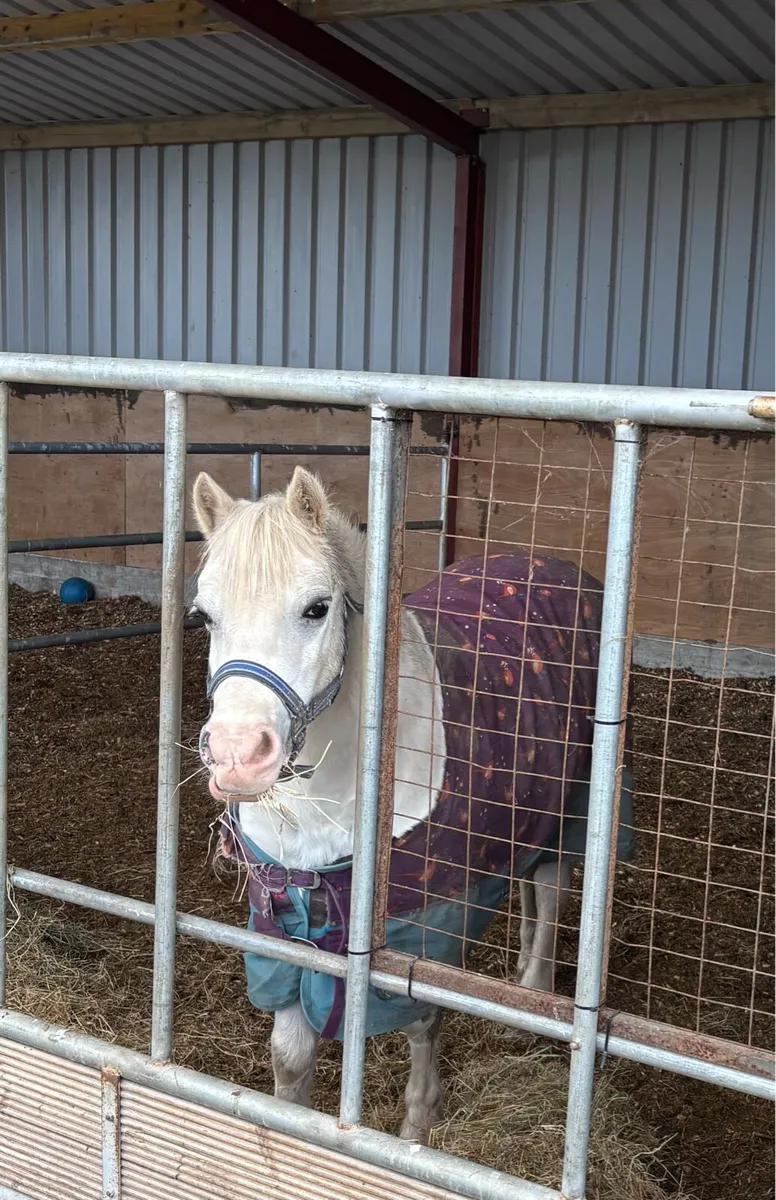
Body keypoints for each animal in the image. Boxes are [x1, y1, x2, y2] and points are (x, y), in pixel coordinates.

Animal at [193, 465, 634, 1141]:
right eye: (205, 616)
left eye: (317, 608)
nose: (238, 756)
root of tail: (554, 566)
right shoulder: (284, 927)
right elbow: (290, 1059)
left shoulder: (421, 928)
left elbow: (423, 1024)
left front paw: (417, 1128)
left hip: (574, 802)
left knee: (553, 884)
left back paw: (534, 997)